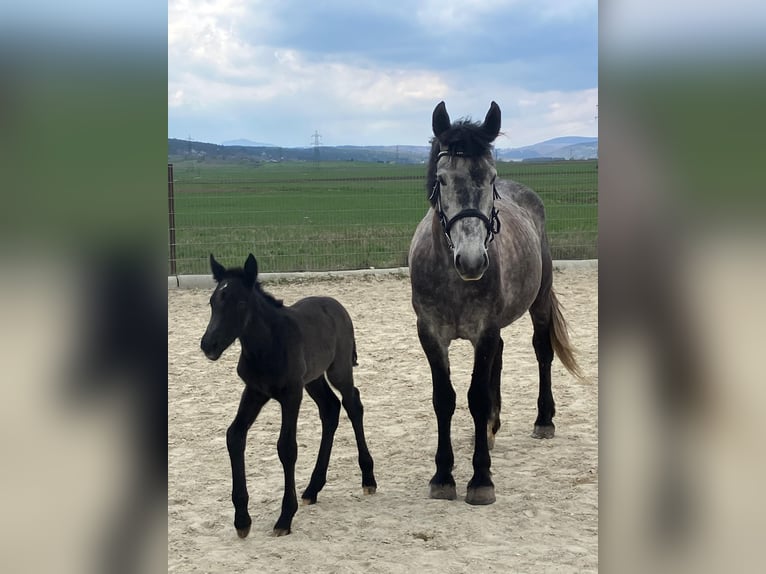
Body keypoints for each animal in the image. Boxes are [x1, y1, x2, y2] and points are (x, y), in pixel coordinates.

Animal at [200, 253, 377, 538]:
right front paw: (242, 520)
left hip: (338, 370)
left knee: (352, 404)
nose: (208, 345)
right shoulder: (255, 391)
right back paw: (313, 488)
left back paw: (368, 479)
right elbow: (234, 436)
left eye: (240, 302)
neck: (267, 346)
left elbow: (287, 447)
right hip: (313, 380)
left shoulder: (291, 395)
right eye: (213, 301)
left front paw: (284, 518)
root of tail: (335, 304)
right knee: (330, 409)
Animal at [408, 101, 582, 505]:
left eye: (490, 178)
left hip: (539, 303)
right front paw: (443, 476)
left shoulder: (483, 331)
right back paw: (491, 426)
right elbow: (444, 398)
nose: (472, 261)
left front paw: (480, 479)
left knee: (542, 352)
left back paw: (544, 420)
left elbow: (475, 396)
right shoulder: (431, 334)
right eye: (442, 180)